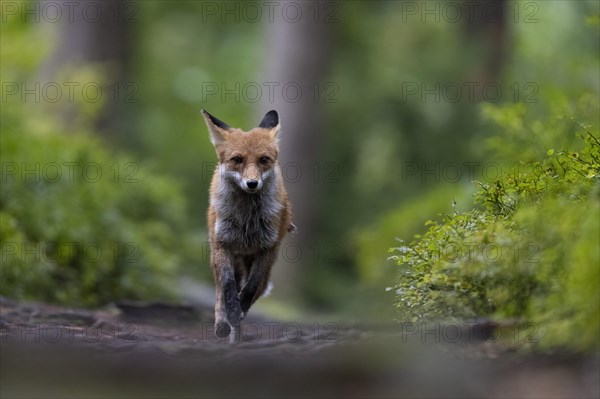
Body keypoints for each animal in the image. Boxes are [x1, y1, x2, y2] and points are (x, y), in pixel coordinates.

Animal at [202, 110, 296, 340]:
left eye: (264, 160)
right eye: (237, 159)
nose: (252, 183)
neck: (247, 220)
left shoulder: (267, 249)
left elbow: (251, 288)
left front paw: (240, 310)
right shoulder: (222, 244)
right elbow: (227, 287)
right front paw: (230, 313)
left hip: (261, 263)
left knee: (255, 289)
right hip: (218, 257)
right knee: (219, 290)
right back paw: (223, 324)